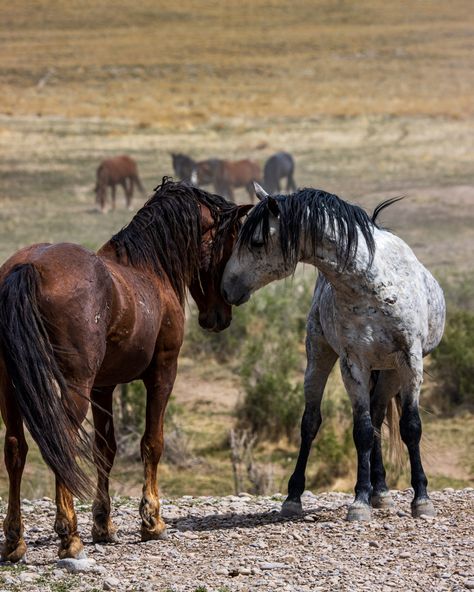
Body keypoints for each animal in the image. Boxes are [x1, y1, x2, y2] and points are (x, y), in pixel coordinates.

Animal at [0, 180, 252, 564]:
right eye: (231, 242)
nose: (220, 317)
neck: (149, 270)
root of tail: (28, 266)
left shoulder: (103, 388)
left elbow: (105, 449)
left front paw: (103, 525)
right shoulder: (162, 374)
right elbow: (152, 442)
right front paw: (152, 520)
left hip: (10, 387)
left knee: (16, 449)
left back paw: (14, 540)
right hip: (72, 387)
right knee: (62, 444)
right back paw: (68, 536)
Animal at [222, 184, 444, 524]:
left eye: (257, 241)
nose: (225, 288)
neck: (373, 285)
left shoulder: (410, 361)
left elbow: (410, 427)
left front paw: (421, 499)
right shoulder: (353, 364)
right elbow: (362, 431)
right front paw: (359, 502)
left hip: (390, 372)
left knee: (379, 418)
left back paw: (381, 492)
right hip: (319, 357)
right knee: (311, 423)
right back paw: (295, 498)